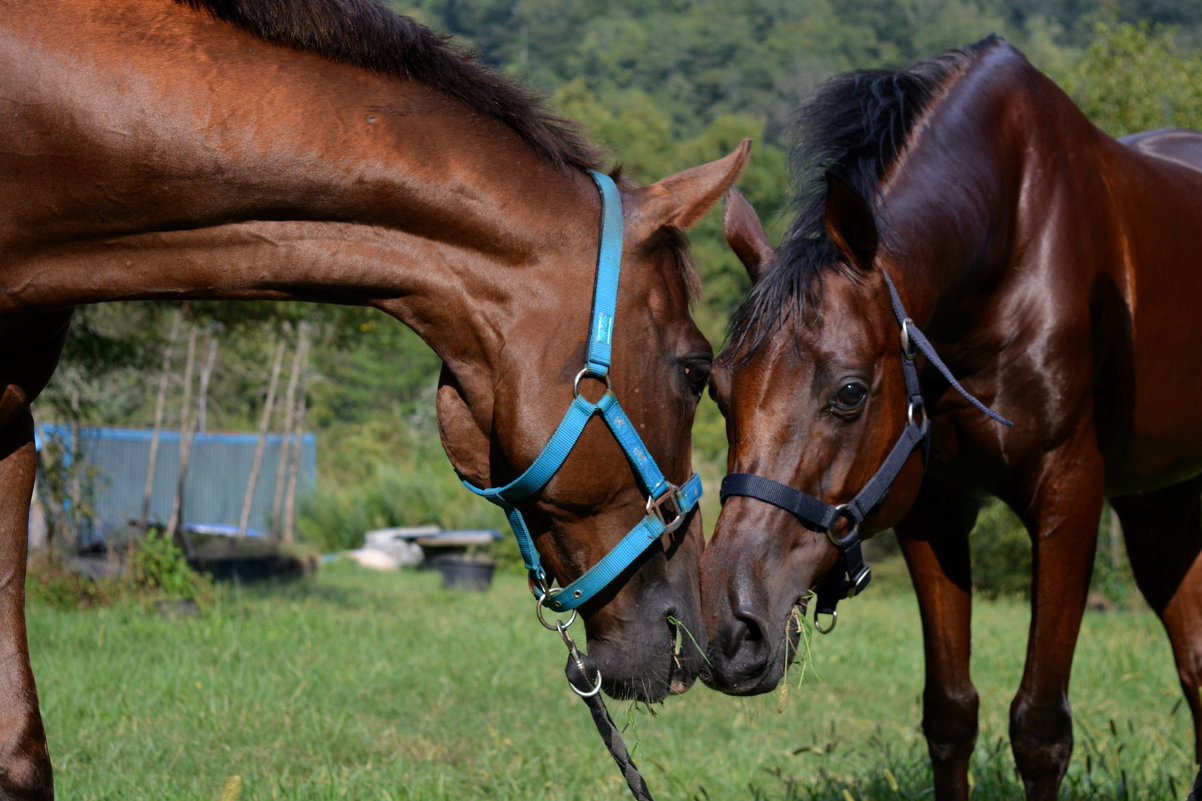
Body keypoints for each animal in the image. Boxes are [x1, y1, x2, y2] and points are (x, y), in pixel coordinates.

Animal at [701, 35, 1202, 798]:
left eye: (850, 392)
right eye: (718, 389)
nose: (732, 631)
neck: (1013, 236)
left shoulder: (1068, 497)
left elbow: (1039, 728)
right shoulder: (932, 506)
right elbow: (950, 713)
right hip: (1160, 506)